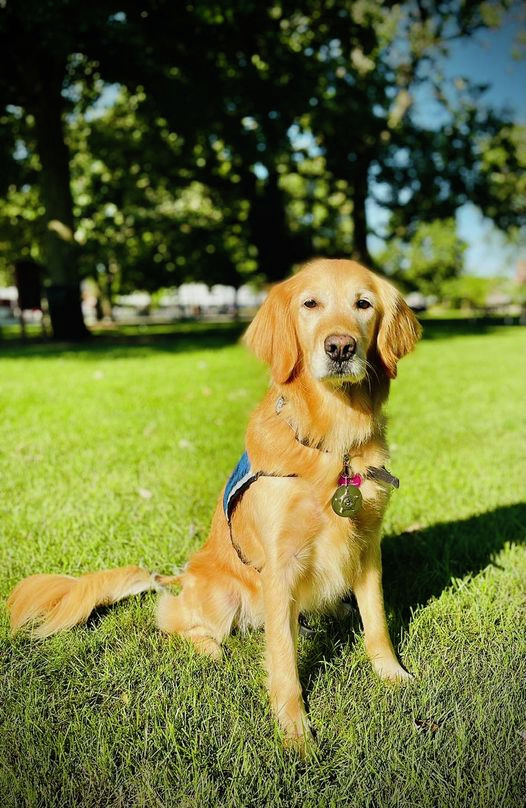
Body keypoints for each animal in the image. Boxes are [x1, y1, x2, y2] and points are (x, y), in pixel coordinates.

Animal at [8, 258, 424, 752]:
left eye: (363, 304)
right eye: (311, 304)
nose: (340, 347)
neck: (333, 444)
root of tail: (183, 574)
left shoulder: (367, 544)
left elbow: (376, 622)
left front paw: (393, 675)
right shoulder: (280, 562)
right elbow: (284, 657)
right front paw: (295, 731)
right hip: (220, 597)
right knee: (172, 617)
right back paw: (210, 646)